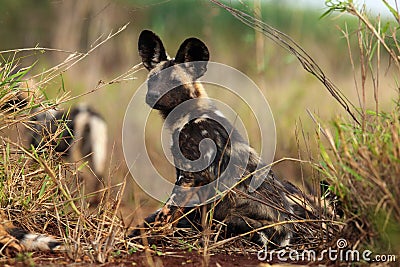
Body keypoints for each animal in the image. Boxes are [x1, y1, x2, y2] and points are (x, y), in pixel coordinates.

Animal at [130, 30, 340, 248]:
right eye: (152, 80)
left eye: (174, 83)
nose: (152, 96)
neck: (191, 114)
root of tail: (288, 234)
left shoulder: (189, 177)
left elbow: (165, 213)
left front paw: (153, 236)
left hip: (236, 220)